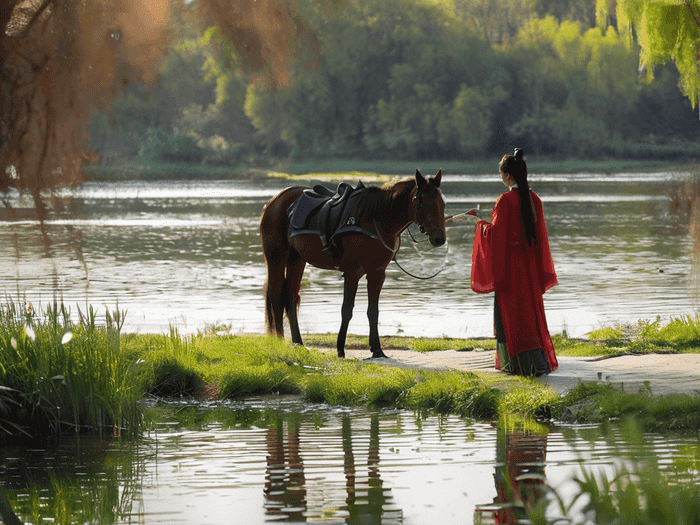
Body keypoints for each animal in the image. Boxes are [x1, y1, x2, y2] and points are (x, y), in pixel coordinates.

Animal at [260, 170, 446, 358]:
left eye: (442, 202)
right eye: (421, 202)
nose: (439, 238)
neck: (375, 218)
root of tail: (273, 201)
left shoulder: (377, 273)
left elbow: (373, 311)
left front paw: (377, 350)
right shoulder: (352, 272)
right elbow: (347, 309)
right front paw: (340, 349)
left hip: (297, 259)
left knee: (290, 297)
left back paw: (298, 343)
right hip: (276, 258)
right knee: (276, 295)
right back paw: (279, 341)